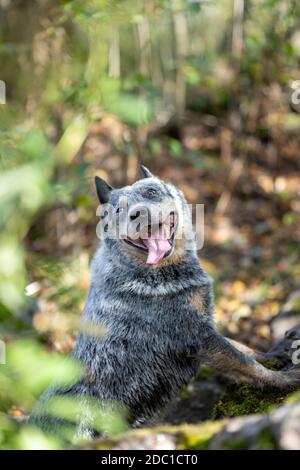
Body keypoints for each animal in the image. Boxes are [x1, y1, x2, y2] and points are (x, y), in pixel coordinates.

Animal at [31, 166, 298, 436]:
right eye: (118, 210)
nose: (138, 214)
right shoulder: (197, 337)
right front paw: (285, 380)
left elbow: (243, 347)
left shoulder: (204, 325)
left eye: (151, 191)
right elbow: (245, 363)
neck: (147, 273)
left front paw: (273, 354)